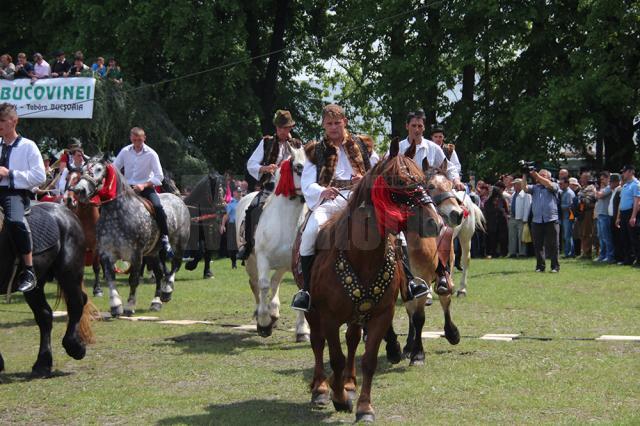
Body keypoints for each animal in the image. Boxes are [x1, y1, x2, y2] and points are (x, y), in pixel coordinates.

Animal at [0, 202, 95, 376]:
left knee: (76, 303)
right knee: (45, 316)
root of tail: (65, 211)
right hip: (36, 284)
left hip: (68, 273)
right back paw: (43, 364)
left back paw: (75, 347)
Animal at [70, 156, 190, 316]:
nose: (79, 190)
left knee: (175, 265)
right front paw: (115, 305)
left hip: (178, 245)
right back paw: (156, 302)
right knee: (159, 273)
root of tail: (179, 200)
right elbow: (110, 277)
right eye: (82, 170)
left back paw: (167, 291)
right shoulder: (106, 254)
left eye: (99, 169)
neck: (117, 214)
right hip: (152, 253)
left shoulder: (136, 255)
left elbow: (133, 280)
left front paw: (129, 306)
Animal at [235, 145, 310, 342]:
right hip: (251, 261)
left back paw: (274, 312)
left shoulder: (296, 262)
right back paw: (261, 314)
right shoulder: (262, 258)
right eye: (299, 167)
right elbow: (263, 285)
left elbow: (299, 289)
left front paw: (302, 330)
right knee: (256, 283)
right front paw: (263, 322)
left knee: (275, 281)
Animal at [298, 141, 452, 422]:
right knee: (317, 342)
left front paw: (363, 407)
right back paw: (321, 389)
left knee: (352, 339)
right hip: (314, 312)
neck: (362, 257)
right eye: (399, 181)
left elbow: (368, 359)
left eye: (421, 180)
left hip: (358, 313)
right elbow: (334, 357)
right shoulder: (328, 317)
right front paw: (338, 398)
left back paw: (349, 383)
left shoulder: (381, 313)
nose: (434, 222)